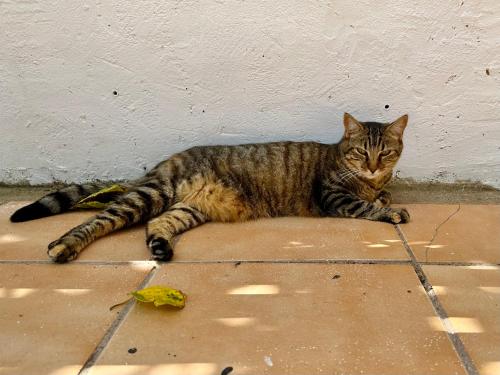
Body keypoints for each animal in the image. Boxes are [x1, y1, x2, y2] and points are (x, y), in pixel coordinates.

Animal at [9, 113, 410, 262]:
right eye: (361, 152)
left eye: (385, 153)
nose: (373, 166)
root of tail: (162, 163)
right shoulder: (333, 196)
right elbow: (367, 206)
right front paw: (391, 209)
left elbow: (378, 196)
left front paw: (384, 195)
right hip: (152, 194)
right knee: (95, 221)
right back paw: (64, 245)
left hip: (187, 208)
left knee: (157, 224)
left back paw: (161, 247)